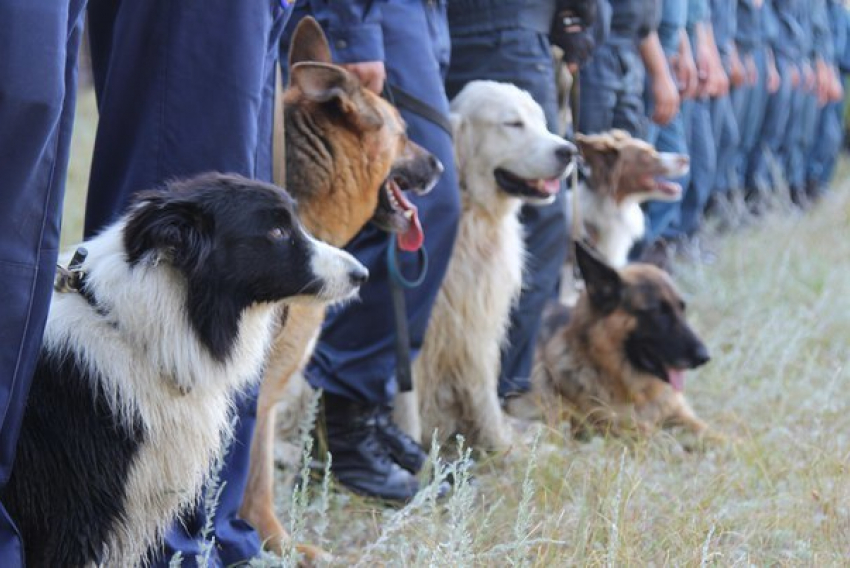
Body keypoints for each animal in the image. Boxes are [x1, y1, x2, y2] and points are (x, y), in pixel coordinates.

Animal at [394, 80, 572, 450]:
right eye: (513, 124)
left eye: (541, 121)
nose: (569, 151)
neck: (472, 218)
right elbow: (405, 399)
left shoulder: (478, 321)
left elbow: (485, 392)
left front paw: (503, 447)